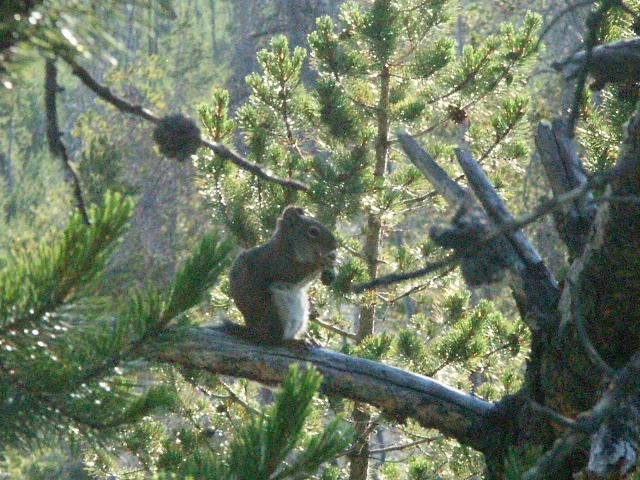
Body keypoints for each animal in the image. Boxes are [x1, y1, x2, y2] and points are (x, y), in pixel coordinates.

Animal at [222, 205, 338, 347]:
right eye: (313, 232)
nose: (335, 245)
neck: (289, 246)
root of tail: (256, 334)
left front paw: (331, 268)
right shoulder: (275, 262)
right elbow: (293, 274)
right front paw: (322, 261)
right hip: (277, 309)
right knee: (278, 340)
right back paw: (292, 342)